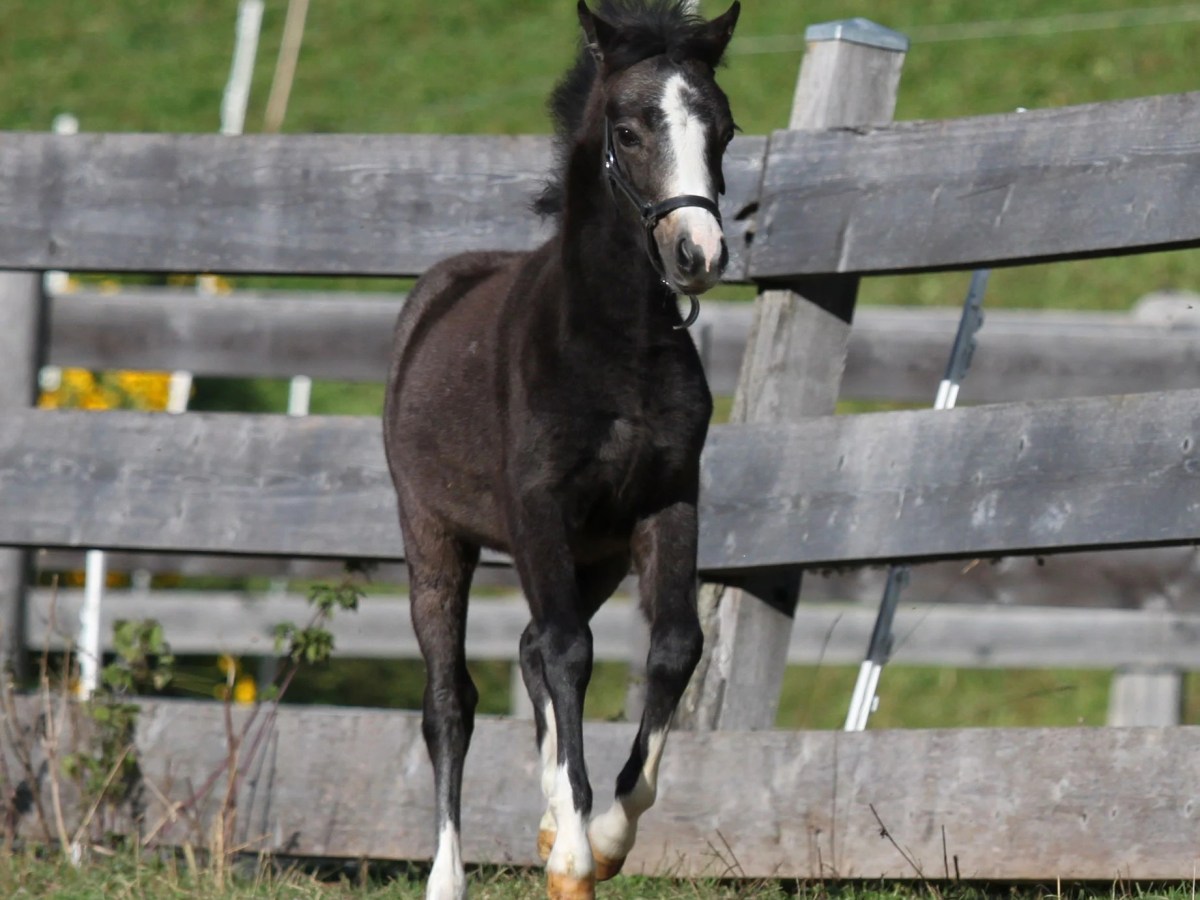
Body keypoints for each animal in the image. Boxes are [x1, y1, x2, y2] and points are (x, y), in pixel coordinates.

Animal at [382, 2, 740, 897]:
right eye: (630, 129)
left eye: (723, 129)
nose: (698, 254)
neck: (616, 348)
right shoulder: (538, 506)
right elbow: (571, 654)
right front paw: (577, 857)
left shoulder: (667, 501)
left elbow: (673, 646)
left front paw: (603, 835)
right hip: (434, 537)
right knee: (452, 699)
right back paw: (449, 875)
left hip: (595, 553)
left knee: (530, 645)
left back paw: (548, 817)